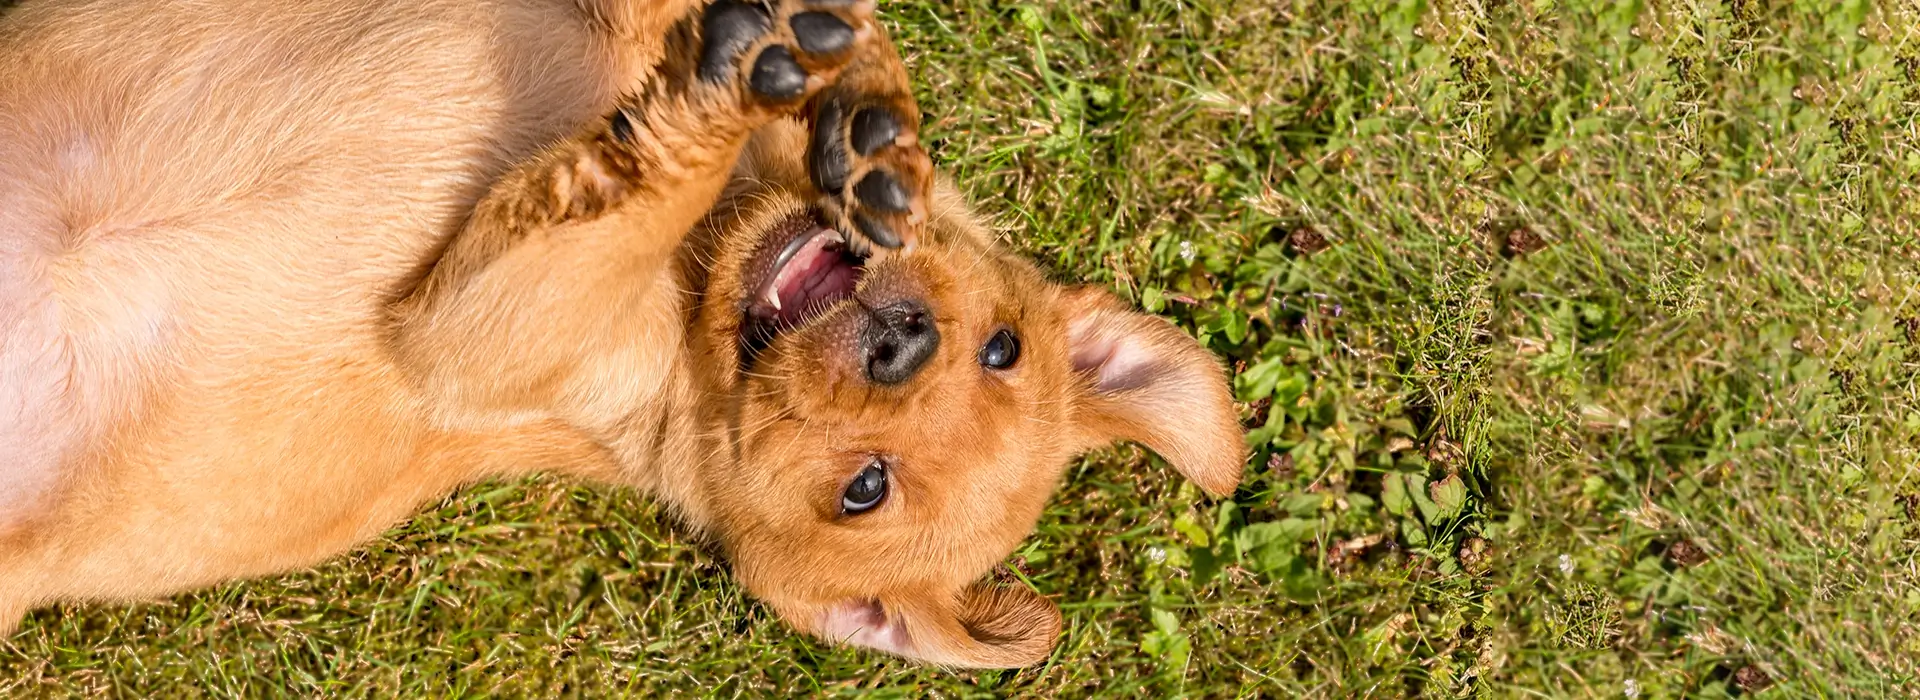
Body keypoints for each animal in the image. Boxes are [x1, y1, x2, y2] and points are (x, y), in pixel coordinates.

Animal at [0, 0, 1244, 667]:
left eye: (866, 489)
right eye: (1003, 349)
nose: (902, 341)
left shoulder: (469, 333)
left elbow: (633, 182)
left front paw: (739, 92)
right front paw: (867, 112)